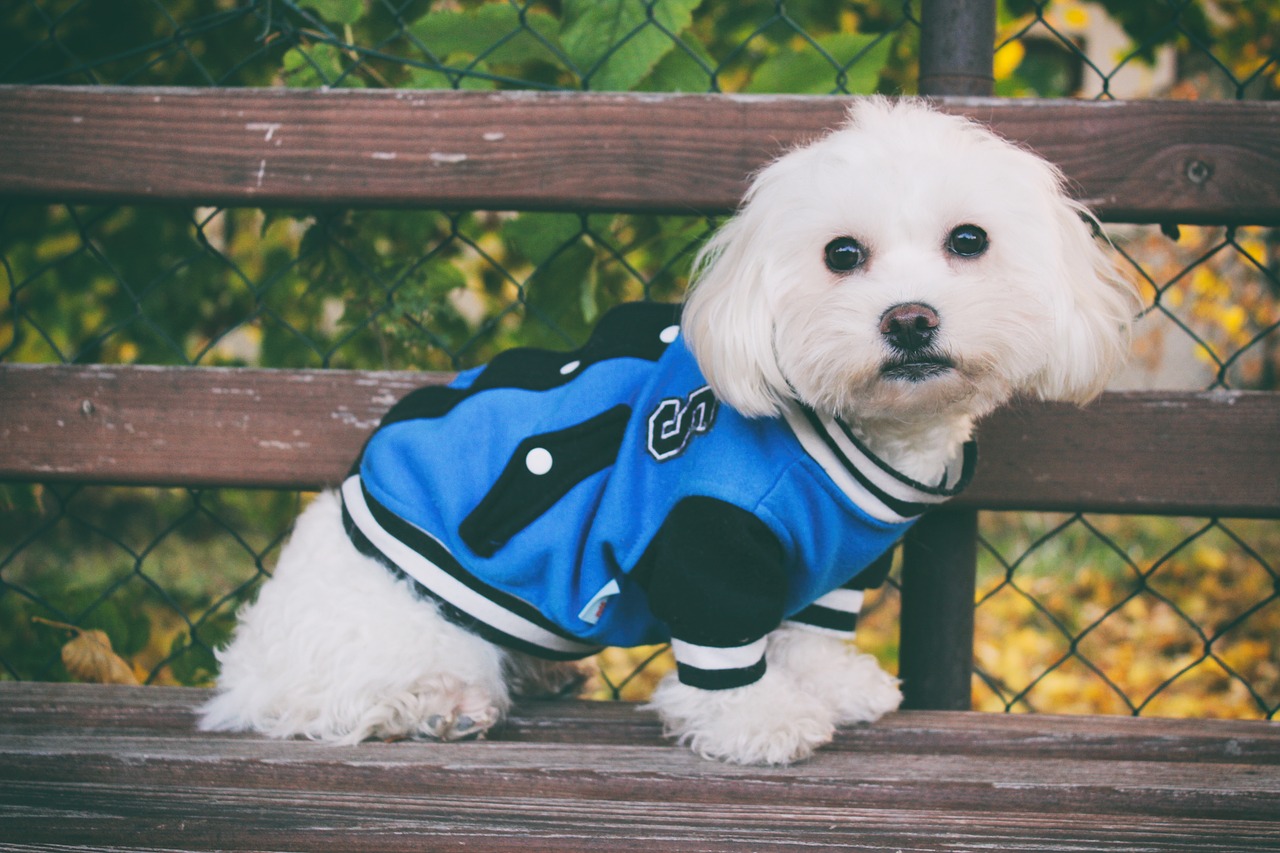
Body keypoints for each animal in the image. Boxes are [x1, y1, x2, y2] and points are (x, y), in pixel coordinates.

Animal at [204, 99, 1136, 763]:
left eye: (969, 240)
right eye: (842, 254)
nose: (909, 319)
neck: (847, 438)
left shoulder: (844, 565)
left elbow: (817, 630)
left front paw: (835, 683)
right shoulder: (707, 538)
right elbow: (724, 655)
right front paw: (760, 722)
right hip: (393, 627)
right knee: (317, 694)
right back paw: (437, 704)